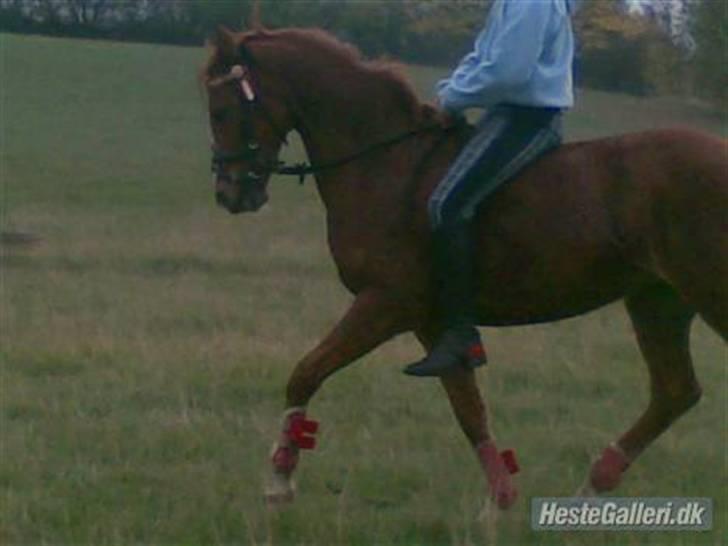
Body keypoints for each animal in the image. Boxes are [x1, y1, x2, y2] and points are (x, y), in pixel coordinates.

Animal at [200, 27, 728, 508]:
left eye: (222, 111)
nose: (229, 194)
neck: (385, 163)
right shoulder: (434, 325)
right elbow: (468, 408)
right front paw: (501, 501)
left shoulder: (385, 304)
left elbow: (305, 373)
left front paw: (279, 480)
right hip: (657, 301)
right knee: (675, 391)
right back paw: (593, 486)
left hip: (704, 294)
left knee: (676, 390)